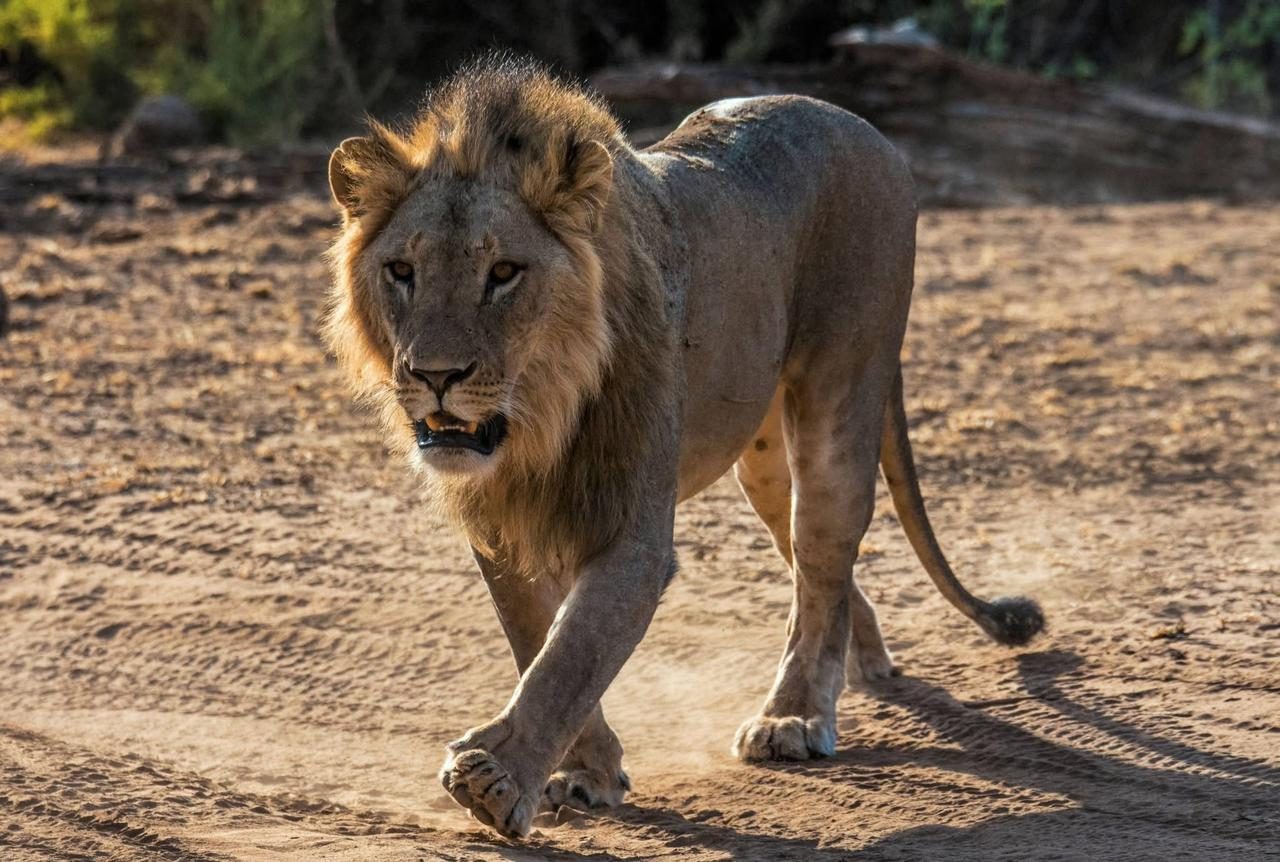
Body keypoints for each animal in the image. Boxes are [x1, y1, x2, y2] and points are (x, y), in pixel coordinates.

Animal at [324, 54, 1044, 838]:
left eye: (504, 273)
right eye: (401, 271)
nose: (435, 376)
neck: (539, 418)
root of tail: (863, 126)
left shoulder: (633, 529)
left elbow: (574, 652)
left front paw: (496, 779)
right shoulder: (498, 524)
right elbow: (537, 638)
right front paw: (588, 772)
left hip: (840, 395)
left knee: (823, 554)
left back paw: (795, 716)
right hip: (760, 463)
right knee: (816, 567)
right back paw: (866, 662)